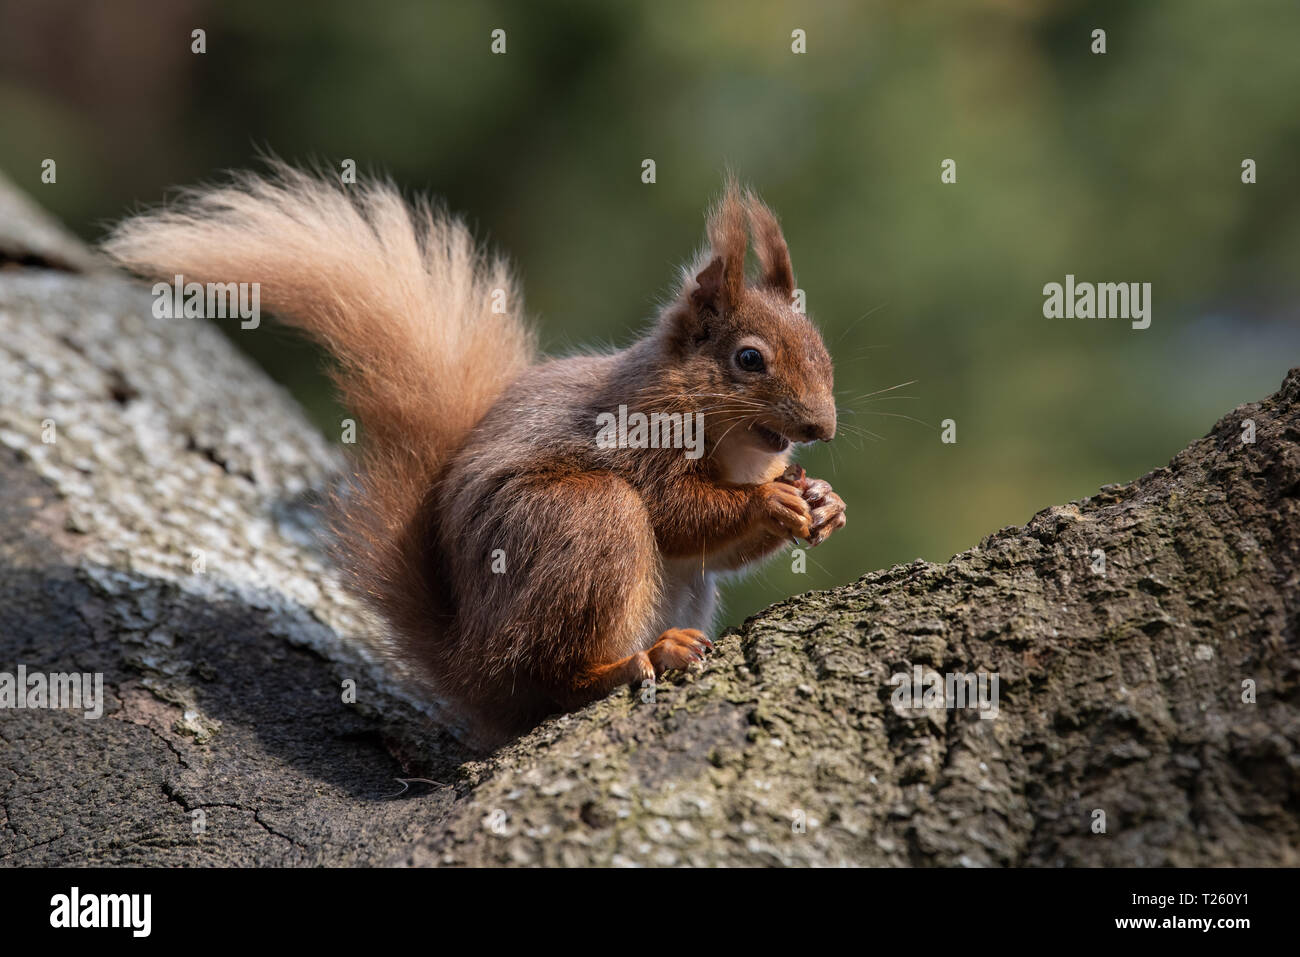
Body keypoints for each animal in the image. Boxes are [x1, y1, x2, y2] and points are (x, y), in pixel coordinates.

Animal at [101, 166, 842, 748]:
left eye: (822, 346)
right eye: (749, 359)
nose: (822, 427)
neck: (734, 446)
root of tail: (471, 660)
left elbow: (717, 550)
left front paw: (823, 503)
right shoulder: (636, 436)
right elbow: (677, 513)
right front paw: (769, 501)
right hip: (580, 521)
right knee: (554, 676)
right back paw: (635, 661)